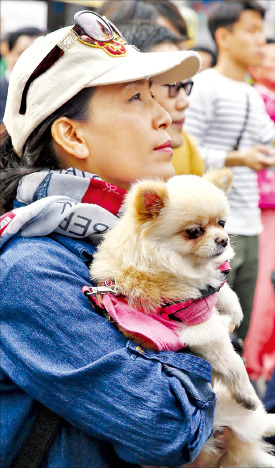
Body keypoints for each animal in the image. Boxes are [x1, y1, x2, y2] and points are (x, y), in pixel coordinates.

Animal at [90, 170, 275, 466]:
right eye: (194, 231)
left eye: (222, 223)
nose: (223, 239)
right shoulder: (201, 327)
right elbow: (234, 363)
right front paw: (247, 392)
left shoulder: (203, 290)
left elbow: (219, 289)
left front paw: (233, 309)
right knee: (251, 425)